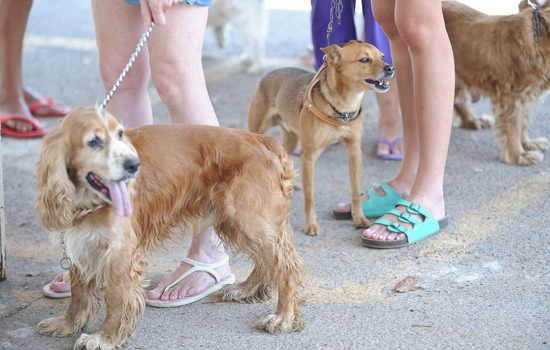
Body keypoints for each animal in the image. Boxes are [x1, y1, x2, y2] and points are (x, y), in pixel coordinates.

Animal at [36, 107, 308, 350]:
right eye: (93, 141)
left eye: (120, 134)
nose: (134, 165)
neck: (87, 200)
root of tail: (263, 140)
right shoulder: (82, 243)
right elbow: (79, 293)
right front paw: (67, 324)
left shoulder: (120, 252)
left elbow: (116, 298)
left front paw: (105, 337)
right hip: (236, 222)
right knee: (266, 262)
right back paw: (245, 290)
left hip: (249, 219)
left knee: (287, 268)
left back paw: (283, 317)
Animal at [248, 40, 394, 235]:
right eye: (364, 60)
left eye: (382, 56)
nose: (391, 68)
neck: (343, 107)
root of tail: (269, 73)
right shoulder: (309, 156)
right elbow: (310, 196)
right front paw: (311, 224)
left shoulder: (355, 151)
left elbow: (356, 191)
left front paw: (359, 218)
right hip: (258, 131)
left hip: (292, 140)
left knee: (284, 157)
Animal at [444, 0, 550, 165]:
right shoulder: (512, 96)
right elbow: (514, 126)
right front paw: (519, 155)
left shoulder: (525, 95)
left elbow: (522, 122)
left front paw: (528, 144)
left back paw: (473, 120)